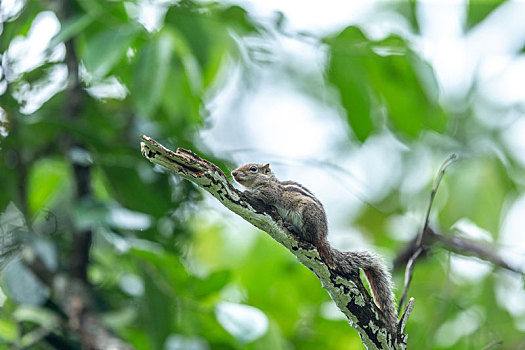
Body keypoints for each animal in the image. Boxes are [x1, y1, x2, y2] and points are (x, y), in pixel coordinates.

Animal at [231, 162, 396, 328]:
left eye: (253, 168)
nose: (233, 173)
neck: (267, 182)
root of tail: (322, 238)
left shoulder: (272, 192)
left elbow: (265, 196)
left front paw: (248, 193)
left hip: (307, 215)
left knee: (310, 238)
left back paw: (295, 229)